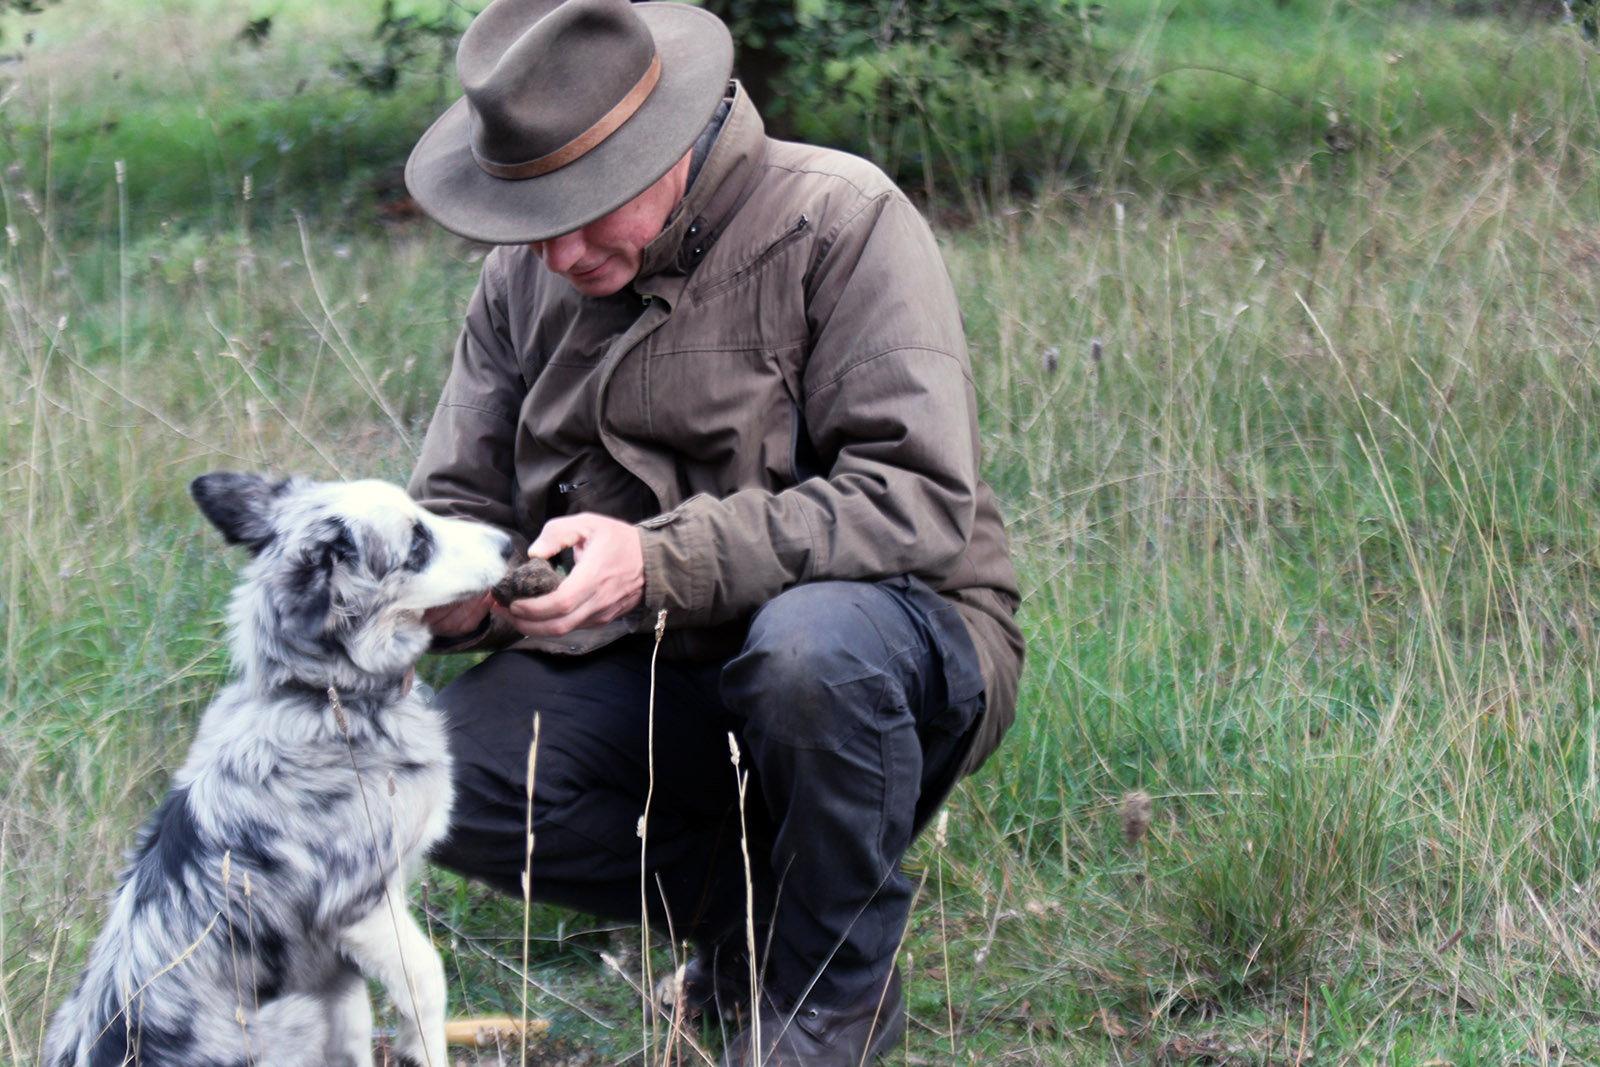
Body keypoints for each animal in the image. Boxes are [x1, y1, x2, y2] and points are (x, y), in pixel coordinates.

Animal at [43, 473, 508, 1067]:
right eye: (417, 545)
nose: (509, 544)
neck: (322, 697)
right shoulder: (360, 906)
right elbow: (427, 980)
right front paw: (421, 1044)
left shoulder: (338, 969)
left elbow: (356, 1028)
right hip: (294, 1015)